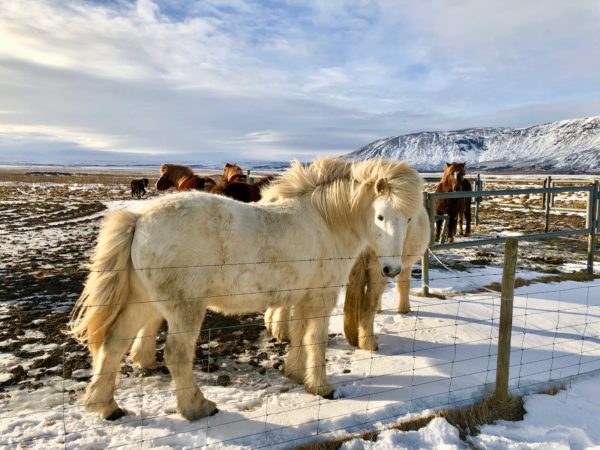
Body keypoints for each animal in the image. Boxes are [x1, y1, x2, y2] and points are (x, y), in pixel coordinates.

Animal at [70, 156, 424, 420]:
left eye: (408, 219)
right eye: (380, 216)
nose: (391, 269)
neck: (325, 222)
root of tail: (139, 218)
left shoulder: (300, 299)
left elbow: (298, 336)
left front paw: (295, 374)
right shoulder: (320, 299)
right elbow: (316, 341)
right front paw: (321, 387)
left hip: (143, 301)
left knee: (113, 344)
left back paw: (106, 406)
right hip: (184, 308)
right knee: (176, 354)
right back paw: (197, 407)